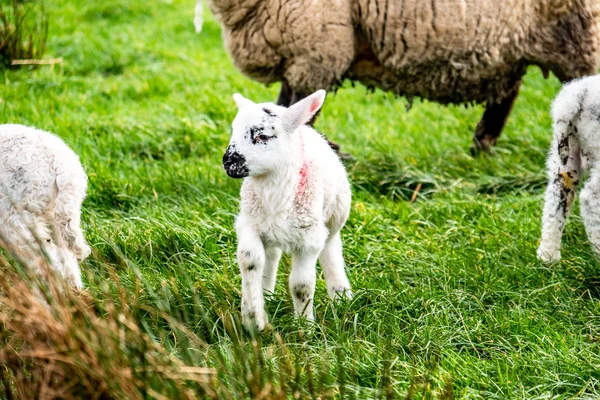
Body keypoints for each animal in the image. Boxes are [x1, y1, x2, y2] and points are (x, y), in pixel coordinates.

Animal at [220, 90, 352, 332]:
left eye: (263, 136)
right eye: (233, 130)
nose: (228, 162)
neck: (274, 195)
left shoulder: (309, 238)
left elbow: (301, 284)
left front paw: (305, 328)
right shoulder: (249, 223)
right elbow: (251, 261)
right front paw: (253, 317)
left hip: (334, 218)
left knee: (331, 249)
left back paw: (341, 296)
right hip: (268, 228)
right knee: (271, 255)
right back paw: (267, 294)